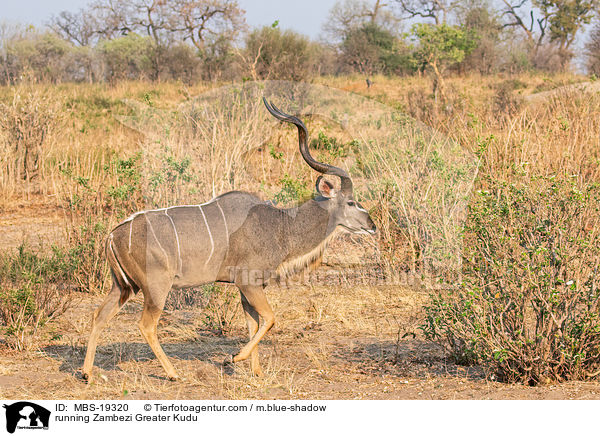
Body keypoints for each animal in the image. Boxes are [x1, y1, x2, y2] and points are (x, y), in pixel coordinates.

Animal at [81, 98, 376, 378]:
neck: (280, 225)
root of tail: (113, 234)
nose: (372, 226)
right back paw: (174, 374)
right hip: (155, 288)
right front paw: (234, 358)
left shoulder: (248, 288)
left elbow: (254, 324)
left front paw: (256, 372)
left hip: (122, 287)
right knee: (146, 325)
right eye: (351, 202)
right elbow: (269, 319)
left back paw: (86, 372)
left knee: (98, 315)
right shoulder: (248, 283)